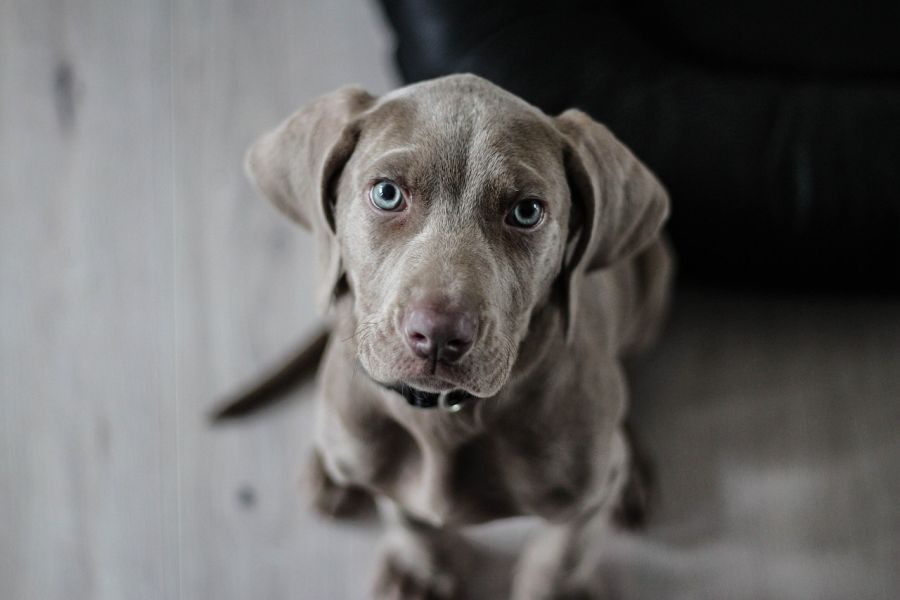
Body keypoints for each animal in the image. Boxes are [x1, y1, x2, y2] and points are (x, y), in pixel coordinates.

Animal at [239, 75, 668, 600]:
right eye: (387, 193)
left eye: (527, 211)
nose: (439, 335)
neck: (444, 418)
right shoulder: (394, 476)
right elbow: (410, 518)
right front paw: (420, 571)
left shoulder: (583, 500)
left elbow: (564, 551)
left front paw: (555, 588)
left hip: (655, 280)